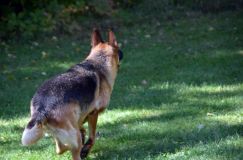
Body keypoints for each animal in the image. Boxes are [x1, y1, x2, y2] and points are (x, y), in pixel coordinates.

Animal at [21, 29, 123, 160]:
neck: (98, 61)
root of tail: (42, 108)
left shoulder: (80, 117)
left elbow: (82, 127)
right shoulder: (93, 114)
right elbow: (92, 136)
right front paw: (86, 148)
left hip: (58, 133)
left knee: (60, 149)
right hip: (73, 136)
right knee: (73, 149)